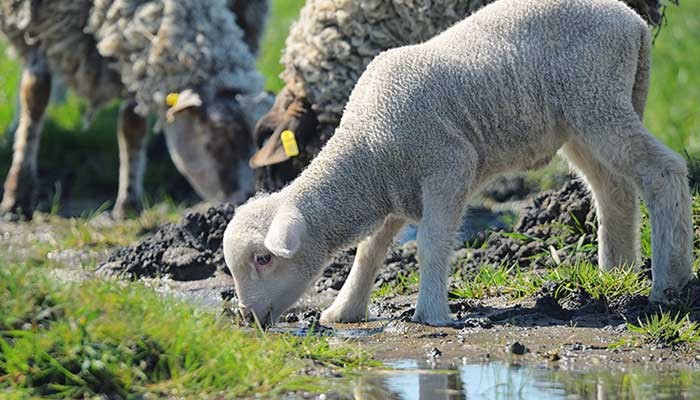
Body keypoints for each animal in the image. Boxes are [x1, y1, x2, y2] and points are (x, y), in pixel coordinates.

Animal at [0, 0, 270, 219]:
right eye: (221, 137)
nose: (248, 197)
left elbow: (132, 126)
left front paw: (128, 204)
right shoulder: (36, 19)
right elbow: (35, 96)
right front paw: (17, 196)